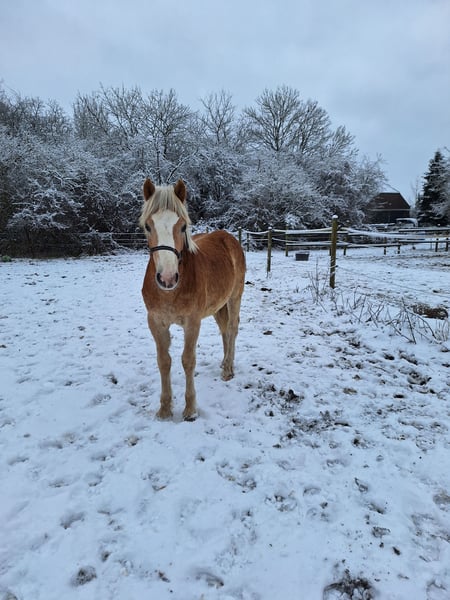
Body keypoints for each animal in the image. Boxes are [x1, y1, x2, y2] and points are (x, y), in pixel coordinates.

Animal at [139, 178, 246, 420]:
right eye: (148, 226)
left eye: (182, 226)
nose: (167, 278)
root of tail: (229, 237)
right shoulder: (155, 322)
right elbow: (164, 361)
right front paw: (165, 408)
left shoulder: (192, 322)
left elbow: (187, 360)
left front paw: (189, 409)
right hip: (218, 306)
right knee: (224, 330)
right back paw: (224, 362)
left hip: (235, 297)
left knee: (233, 328)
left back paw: (228, 369)